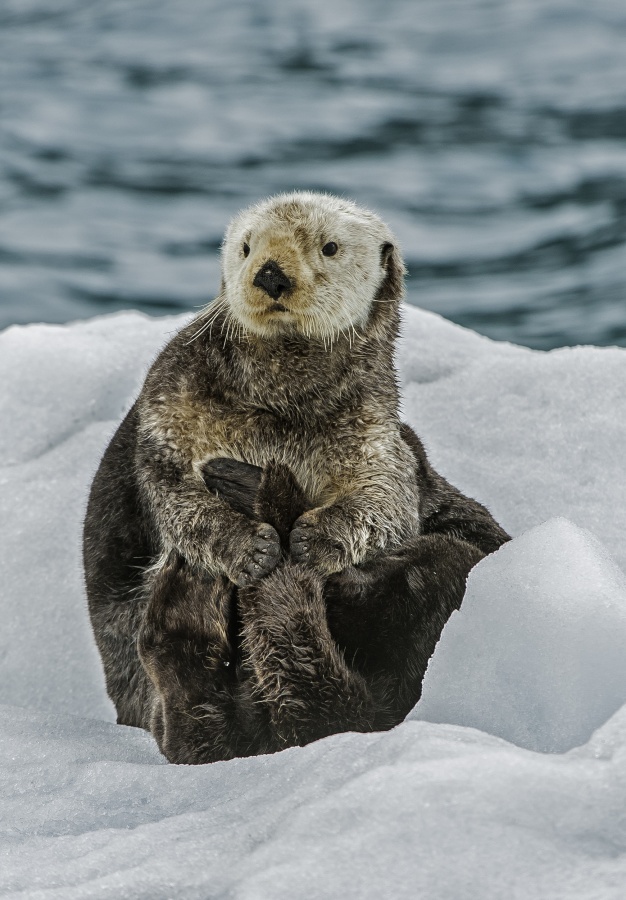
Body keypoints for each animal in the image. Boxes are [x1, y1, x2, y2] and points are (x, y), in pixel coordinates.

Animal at [83, 192, 509, 762]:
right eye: (245, 247)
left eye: (328, 247)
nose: (270, 273)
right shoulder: (169, 407)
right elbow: (175, 493)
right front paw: (250, 547)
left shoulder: (375, 432)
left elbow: (386, 500)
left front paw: (312, 540)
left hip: (452, 565)